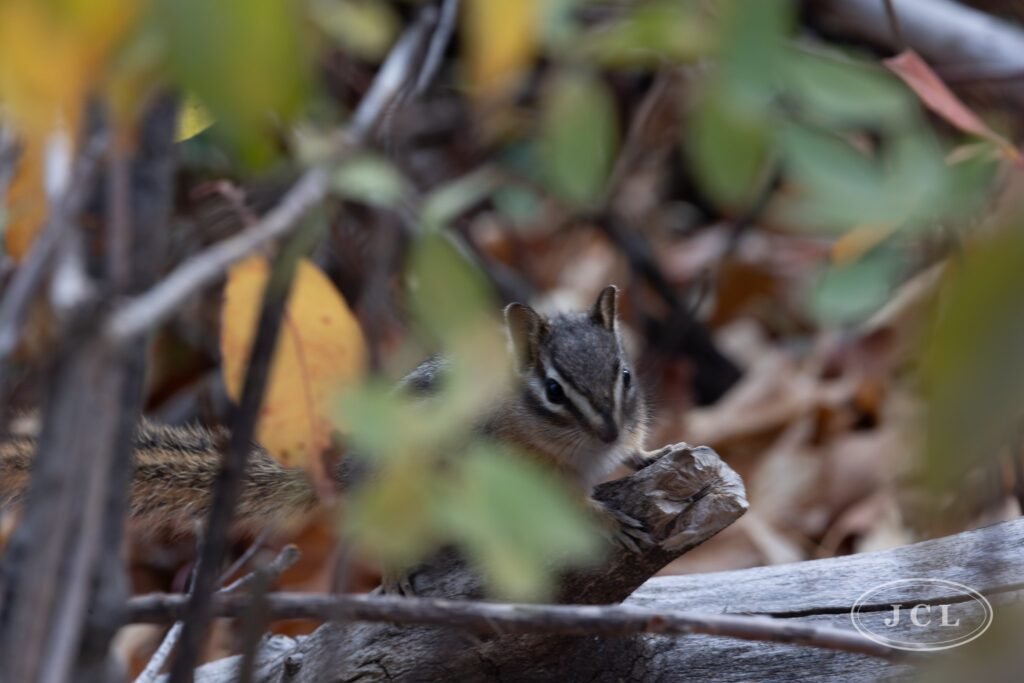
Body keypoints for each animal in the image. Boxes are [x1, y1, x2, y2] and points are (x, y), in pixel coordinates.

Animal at [0, 285, 659, 549]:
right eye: (553, 391)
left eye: (625, 375)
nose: (607, 430)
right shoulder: (515, 467)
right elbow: (565, 501)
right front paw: (603, 517)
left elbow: (635, 452)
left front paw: (650, 453)